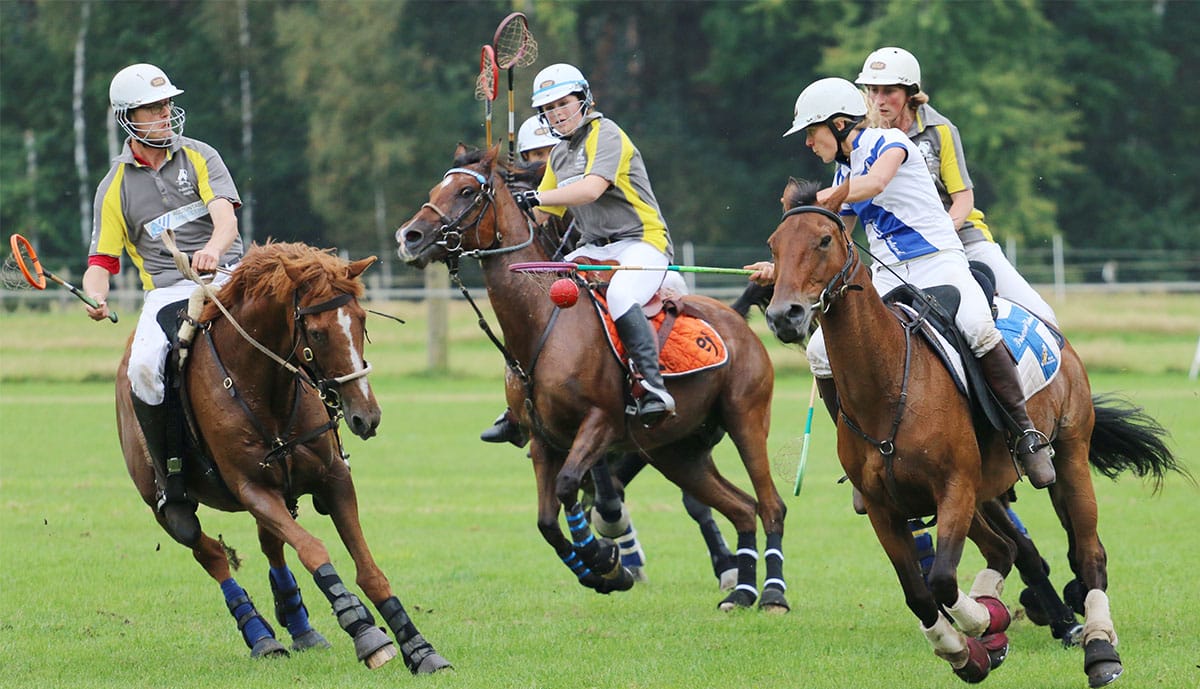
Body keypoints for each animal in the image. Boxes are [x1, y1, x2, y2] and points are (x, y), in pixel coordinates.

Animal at [115, 242, 451, 676]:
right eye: (318, 333)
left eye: (361, 320)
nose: (367, 416)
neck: (262, 386)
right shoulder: (252, 489)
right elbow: (313, 549)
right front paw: (364, 629)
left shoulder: (333, 478)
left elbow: (369, 570)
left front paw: (419, 647)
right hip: (167, 504)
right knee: (207, 550)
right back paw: (260, 635)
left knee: (270, 546)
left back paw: (298, 624)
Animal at [393, 144, 787, 609]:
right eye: (435, 190)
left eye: (467, 191)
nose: (409, 238)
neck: (543, 320)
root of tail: (736, 319)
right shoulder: (542, 439)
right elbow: (546, 520)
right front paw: (600, 571)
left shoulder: (600, 422)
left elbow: (570, 488)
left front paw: (603, 559)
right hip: (677, 451)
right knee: (741, 507)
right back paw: (742, 593)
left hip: (746, 419)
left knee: (770, 505)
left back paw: (772, 595)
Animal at [763, 177, 1176, 686]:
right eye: (774, 246)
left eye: (823, 240)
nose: (785, 315)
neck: (888, 387)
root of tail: (1053, 332)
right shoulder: (884, 508)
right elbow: (920, 592)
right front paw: (967, 649)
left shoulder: (954, 487)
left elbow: (941, 580)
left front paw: (982, 624)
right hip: (987, 490)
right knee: (1007, 549)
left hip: (1069, 453)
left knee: (1088, 552)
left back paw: (1099, 647)